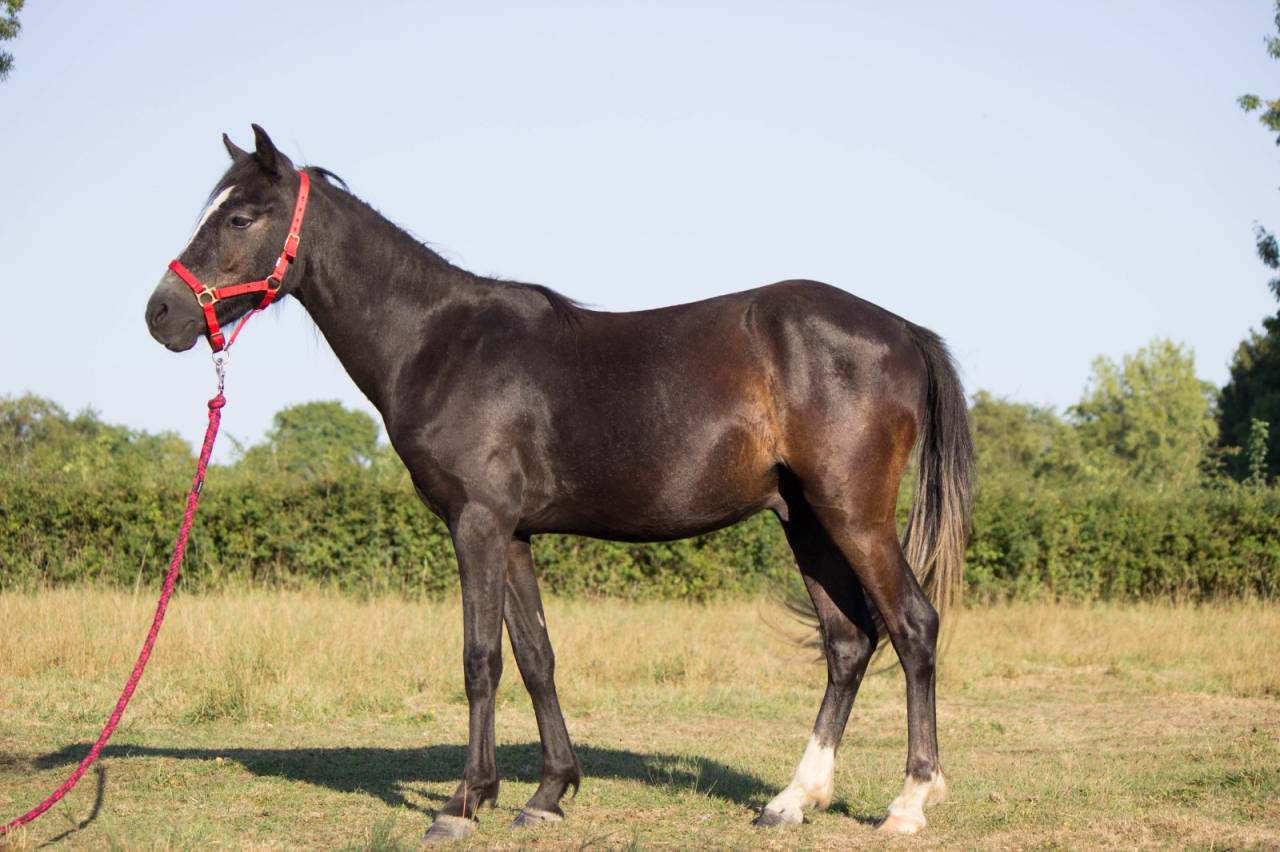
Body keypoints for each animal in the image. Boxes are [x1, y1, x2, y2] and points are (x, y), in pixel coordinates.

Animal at [144, 125, 974, 841]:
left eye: (242, 216)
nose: (162, 313)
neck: (439, 342)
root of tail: (904, 331)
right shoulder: (512, 533)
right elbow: (537, 658)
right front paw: (547, 793)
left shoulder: (476, 524)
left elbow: (481, 660)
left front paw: (462, 803)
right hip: (805, 519)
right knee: (848, 643)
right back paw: (793, 799)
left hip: (853, 516)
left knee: (912, 627)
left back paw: (908, 802)